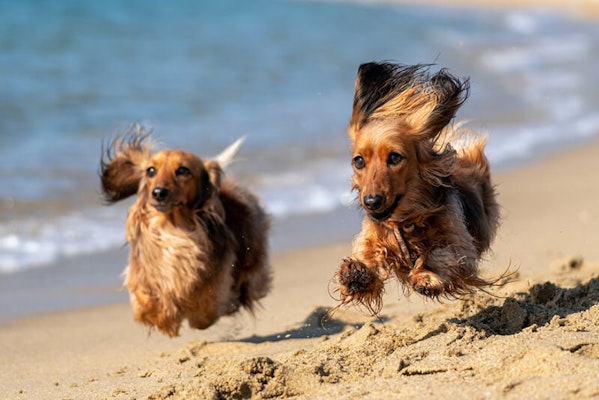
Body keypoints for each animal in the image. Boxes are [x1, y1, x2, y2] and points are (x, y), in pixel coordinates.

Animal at [100, 126, 272, 336]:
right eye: (151, 170)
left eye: (183, 170)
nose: (158, 192)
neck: (173, 227)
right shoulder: (144, 274)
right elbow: (146, 300)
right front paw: (165, 317)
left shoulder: (215, 279)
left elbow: (205, 309)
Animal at [338, 62, 502, 314]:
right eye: (358, 161)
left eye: (395, 157)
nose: (371, 202)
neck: (405, 221)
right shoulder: (373, 236)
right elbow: (367, 253)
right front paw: (356, 273)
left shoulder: (461, 246)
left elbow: (438, 253)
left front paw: (426, 276)